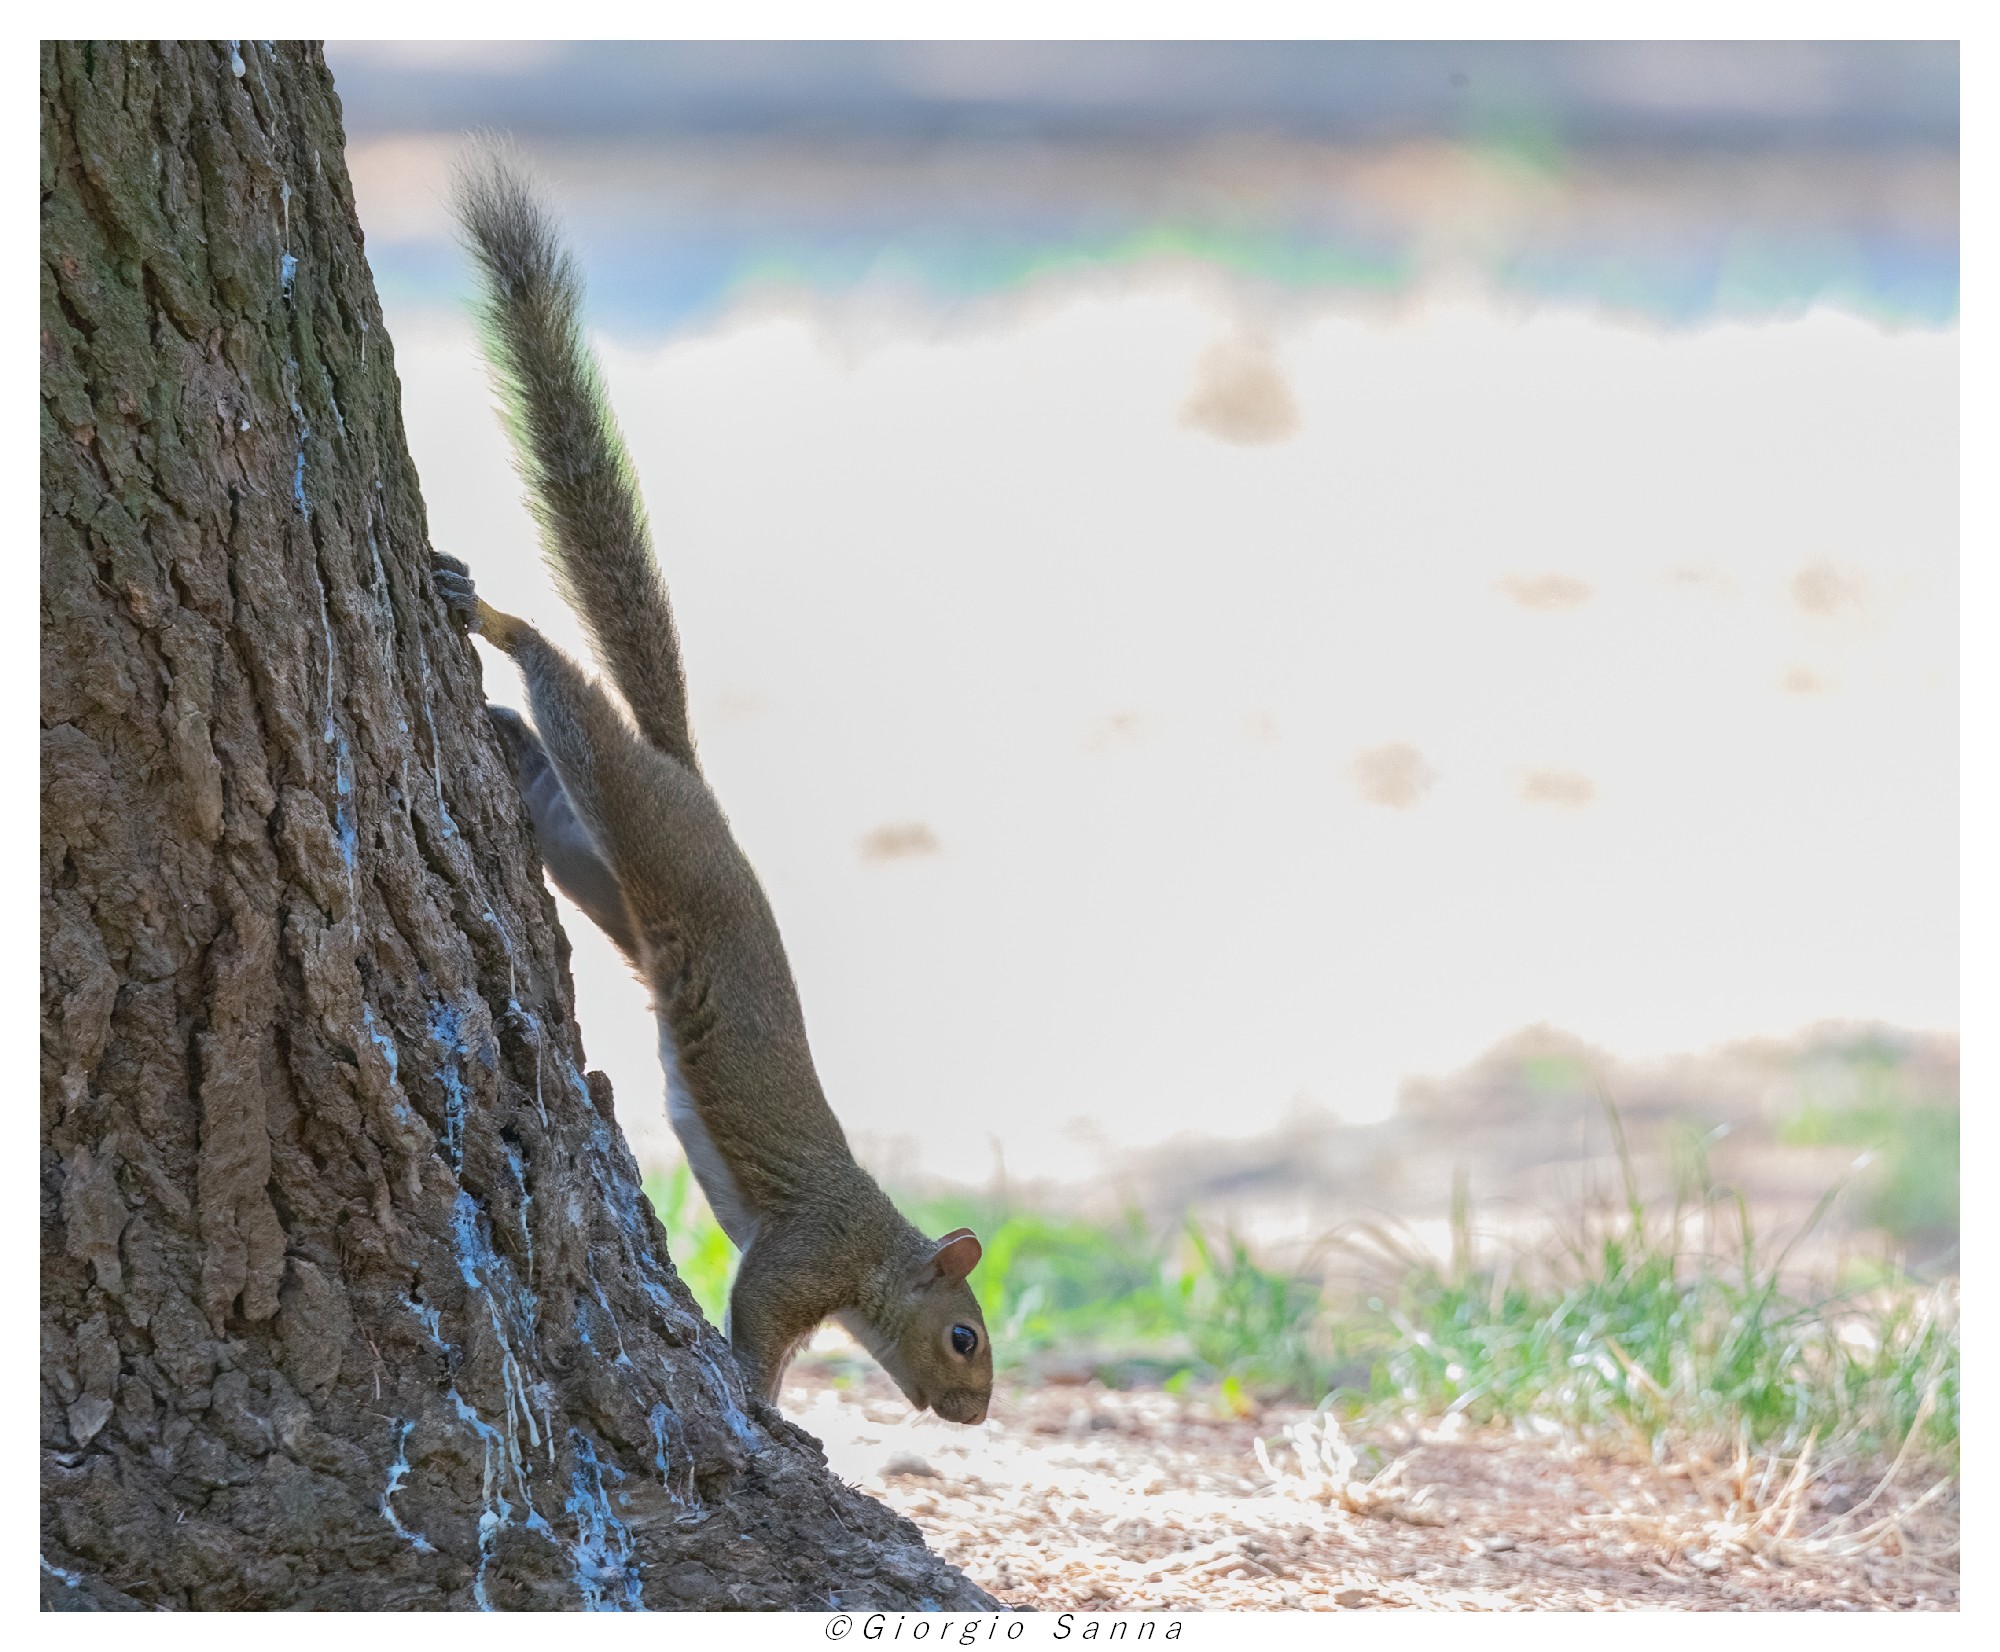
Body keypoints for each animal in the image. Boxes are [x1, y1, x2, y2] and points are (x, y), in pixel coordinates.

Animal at [431, 154, 992, 1425]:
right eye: (965, 1337)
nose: (978, 1411)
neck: (877, 1247)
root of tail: (691, 775)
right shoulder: (802, 1256)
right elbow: (759, 1327)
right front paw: (761, 1401)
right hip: (642, 816)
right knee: (571, 692)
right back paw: (489, 620)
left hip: (604, 870)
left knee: (551, 787)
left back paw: (498, 725)